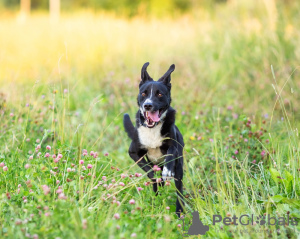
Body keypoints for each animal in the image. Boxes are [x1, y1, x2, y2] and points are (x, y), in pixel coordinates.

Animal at [123, 62, 184, 216]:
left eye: (160, 94)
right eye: (144, 93)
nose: (148, 105)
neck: (152, 128)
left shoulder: (174, 145)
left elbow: (170, 153)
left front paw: (167, 171)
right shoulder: (134, 152)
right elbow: (149, 170)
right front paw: (156, 176)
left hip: (179, 170)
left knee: (179, 190)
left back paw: (179, 211)